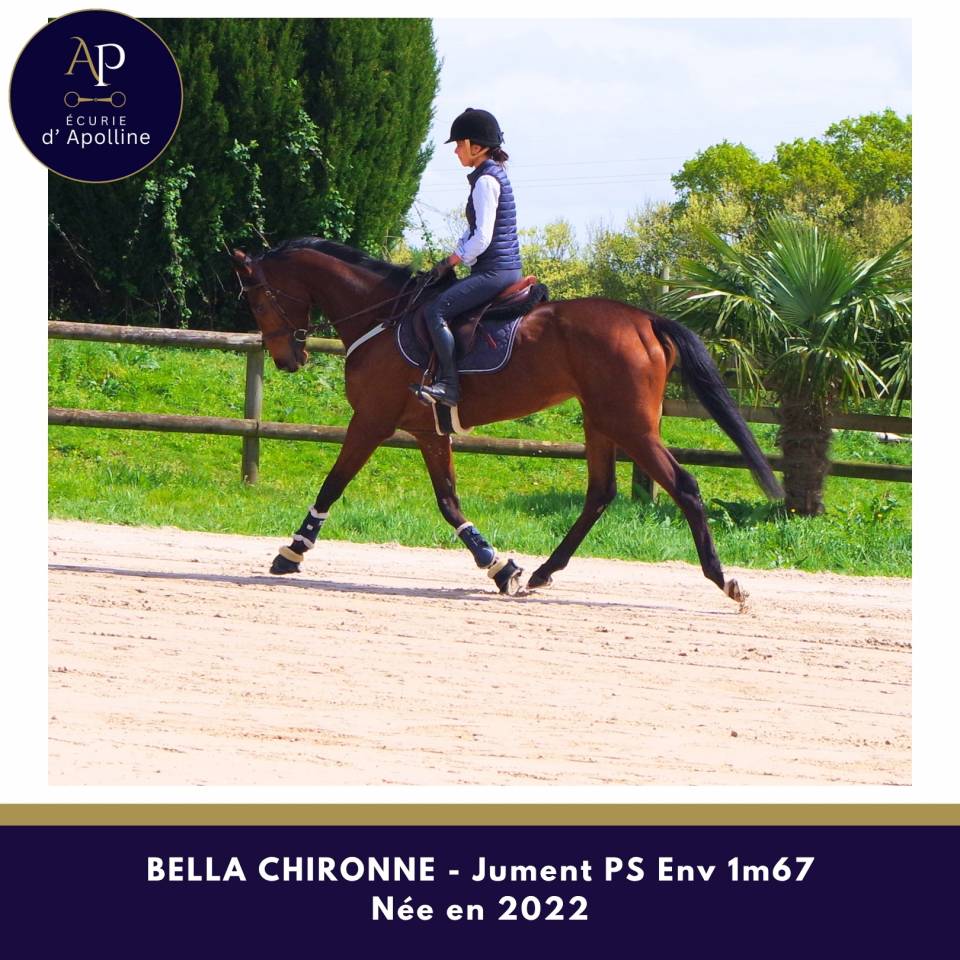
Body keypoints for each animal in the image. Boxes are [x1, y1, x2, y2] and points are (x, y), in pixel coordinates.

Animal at [232, 238, 783, 604]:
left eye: (257, 298)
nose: (287, 359)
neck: (382, 317)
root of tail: (645, 319)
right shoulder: (428, 430)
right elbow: (449, 502)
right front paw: (499, 567)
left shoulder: (371, 420)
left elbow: (333, 483)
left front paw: (291, 552)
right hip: (601, 423)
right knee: (600, 494)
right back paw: (542, 573)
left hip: (631, 426)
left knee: (683, 486)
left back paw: (724, 580)